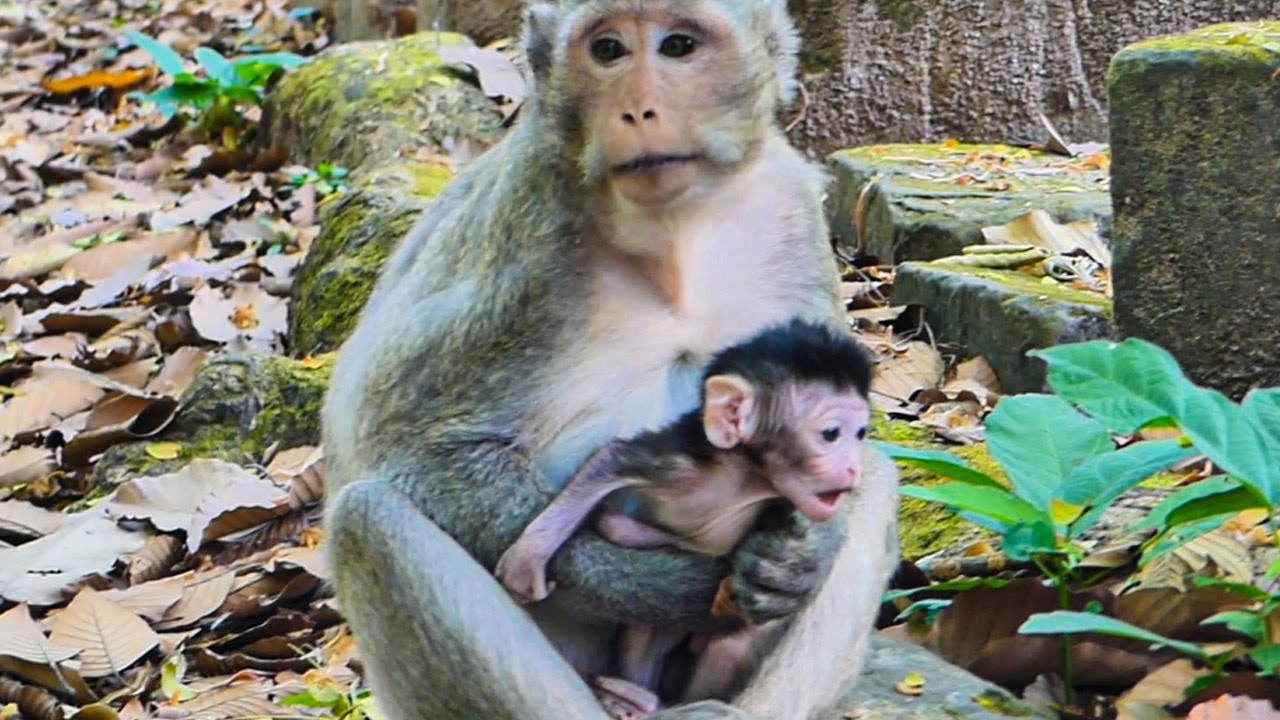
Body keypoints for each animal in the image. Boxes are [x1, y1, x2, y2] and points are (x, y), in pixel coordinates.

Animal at [494, 319, 874, 718]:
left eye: (860, 434)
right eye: (831, 434)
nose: (853, 467)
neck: (743, 481)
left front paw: (794, 565)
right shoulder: (677, 464)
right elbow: (608, 465)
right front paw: (529, 558)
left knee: (729, 645)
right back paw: (634, 699)